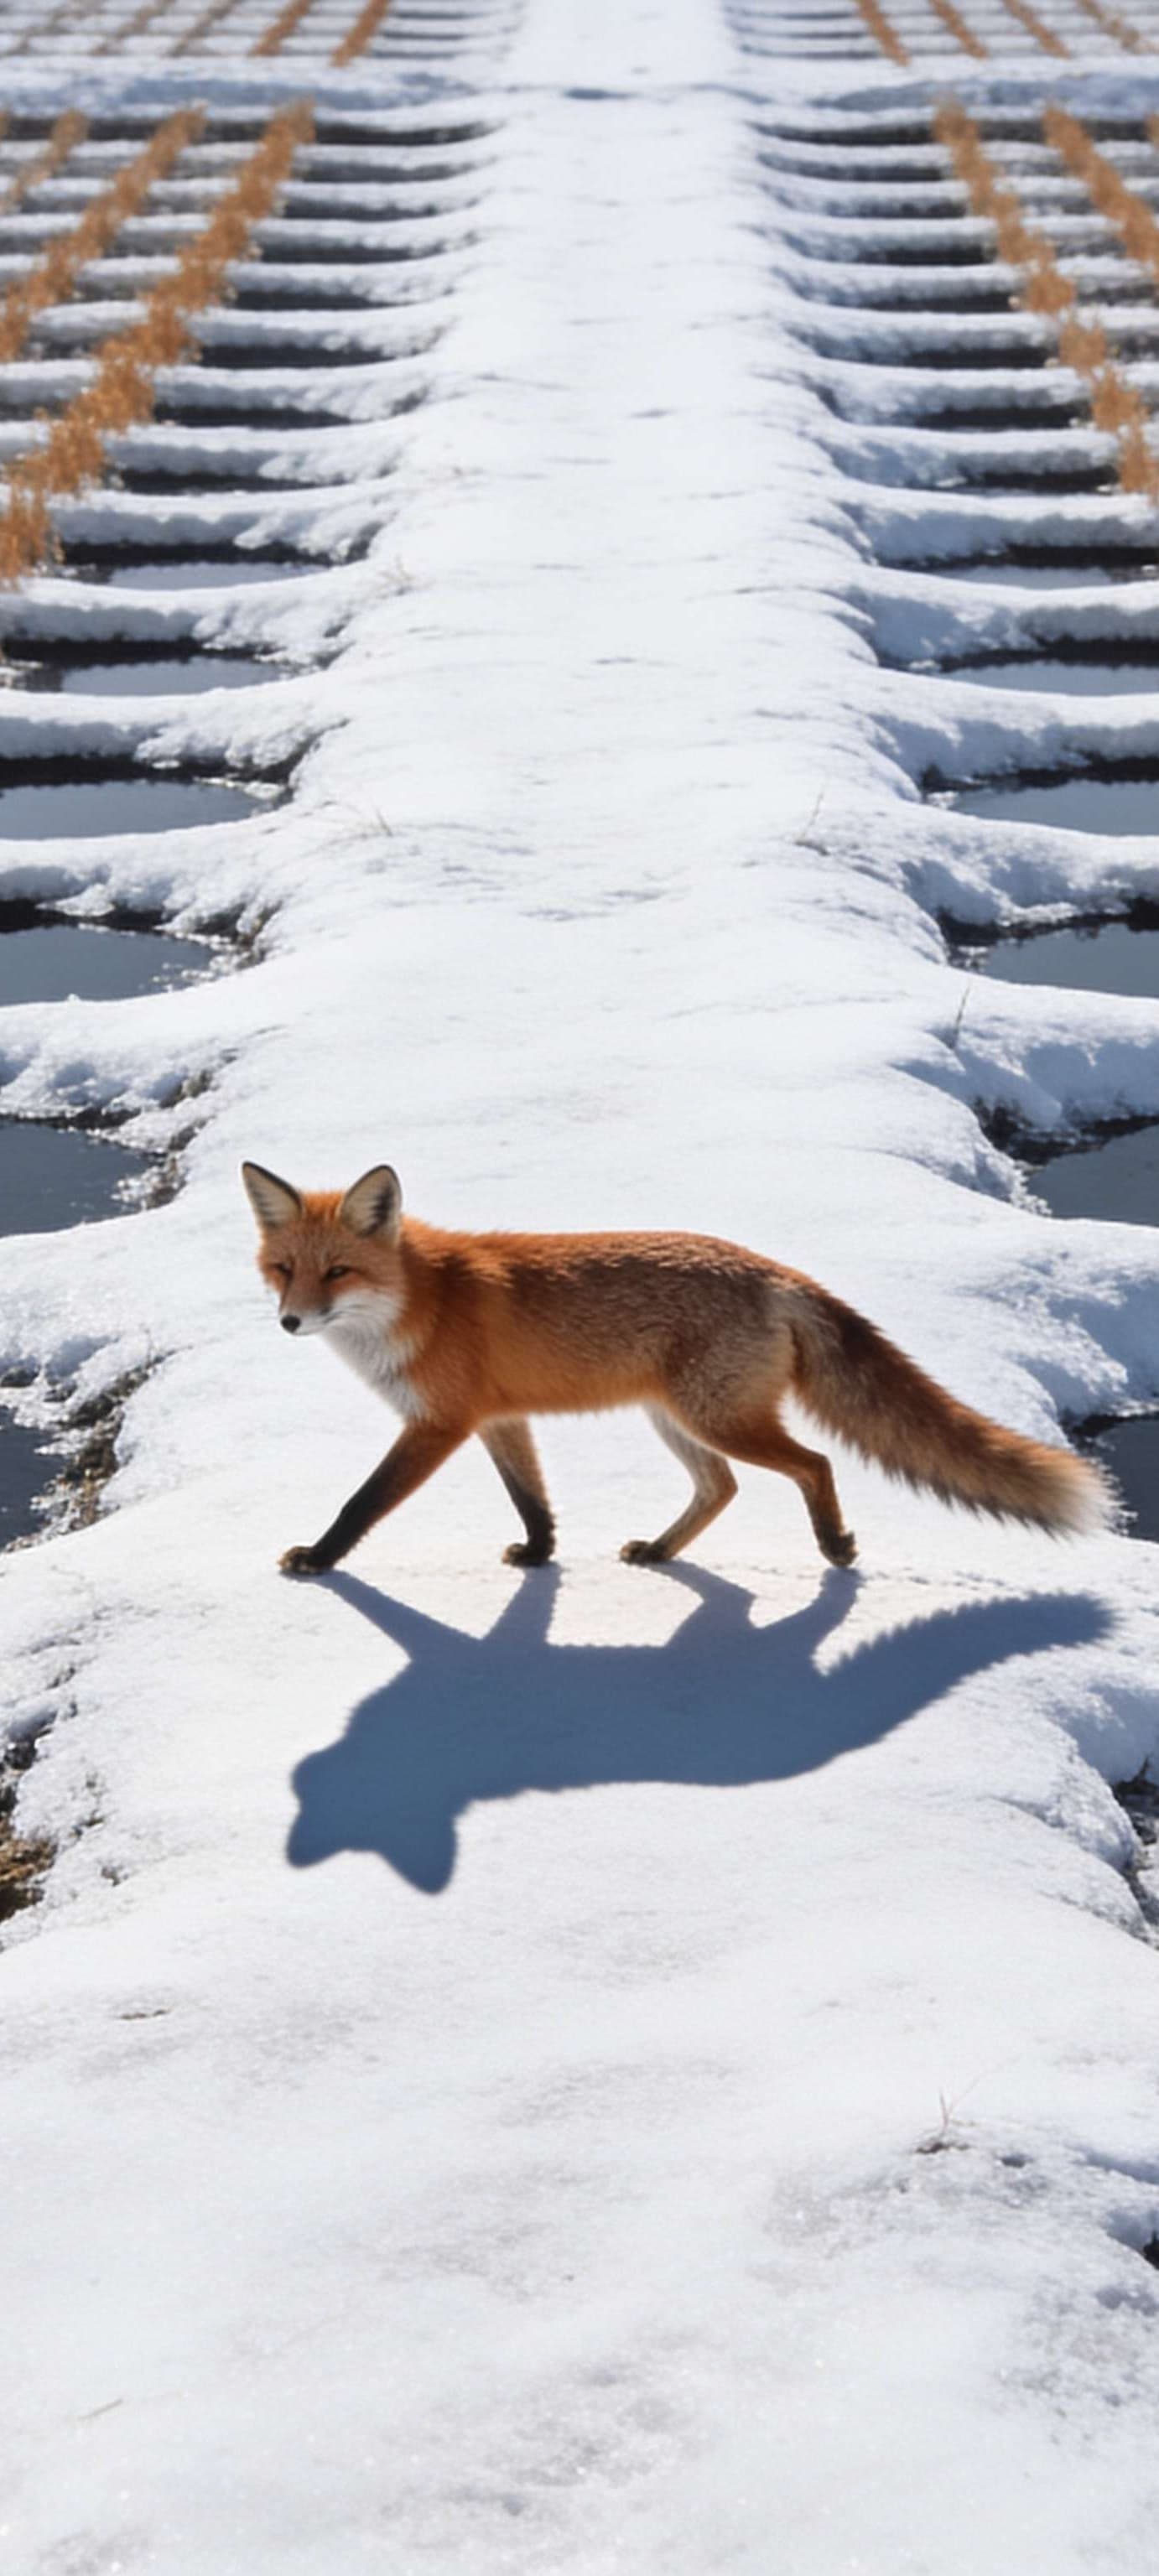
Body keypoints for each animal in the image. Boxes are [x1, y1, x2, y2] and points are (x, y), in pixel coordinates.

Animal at [241, 1159, 1111, 1576]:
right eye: (284, 1270)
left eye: (338, 1273)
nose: (289, 1322)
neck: (421, 1301)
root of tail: (777, 1272)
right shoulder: (499, 1418)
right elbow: (534, 1503)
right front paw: (540, 1558)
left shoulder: (439, 1425)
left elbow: (362, 1502)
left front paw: (318, 1560)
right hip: (675, 1420)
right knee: (721, 1488)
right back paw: (661, 1553)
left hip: (716, 1417)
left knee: (815, 1464)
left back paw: (834, 1546)